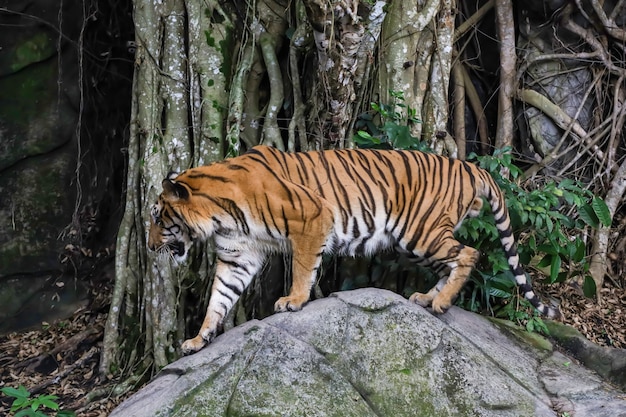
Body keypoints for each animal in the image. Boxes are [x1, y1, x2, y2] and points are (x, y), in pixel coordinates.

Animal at [149, 145, 560, 352]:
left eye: (157, 217)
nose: (151, 247)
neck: (221, 214)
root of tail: (471, 166)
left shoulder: (311, 217)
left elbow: (303, 267)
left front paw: (293, 301)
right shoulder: (238, 255)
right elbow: (219, 298)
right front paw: (199, 339)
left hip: (420, 232)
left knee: (470, 254)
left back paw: (441, 303)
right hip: (420, 240)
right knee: (452, 262)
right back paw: (427, 299)